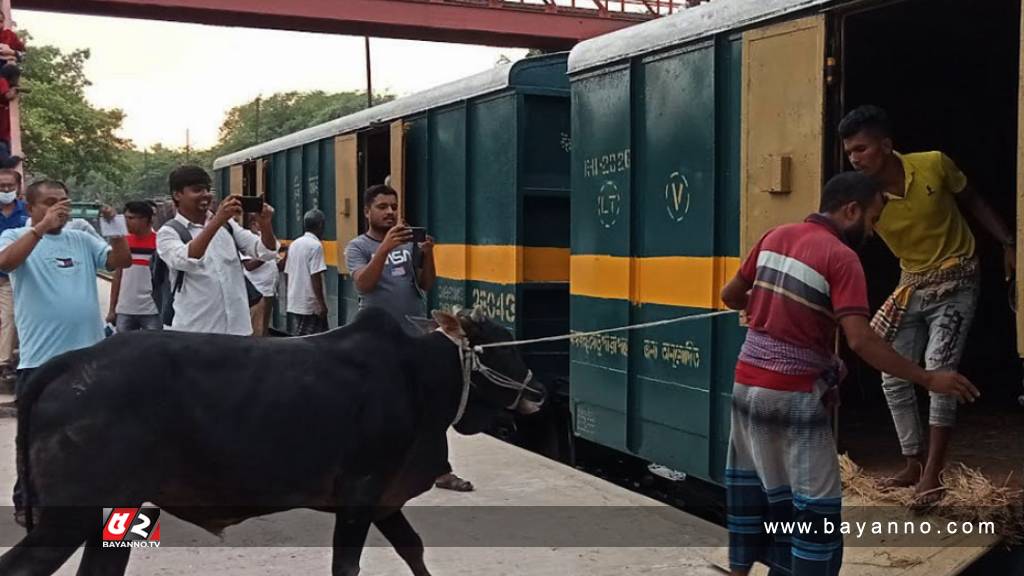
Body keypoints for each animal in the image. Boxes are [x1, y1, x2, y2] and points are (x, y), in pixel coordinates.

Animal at [0, 307, 544, 573]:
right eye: (502, 347)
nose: (539, 391)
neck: (419, 376)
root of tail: (68, 363)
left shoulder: (386, 499)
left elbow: (413, 548)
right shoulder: (361, 493)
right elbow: (347, 566)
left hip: (116, 512)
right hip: (69, 518)